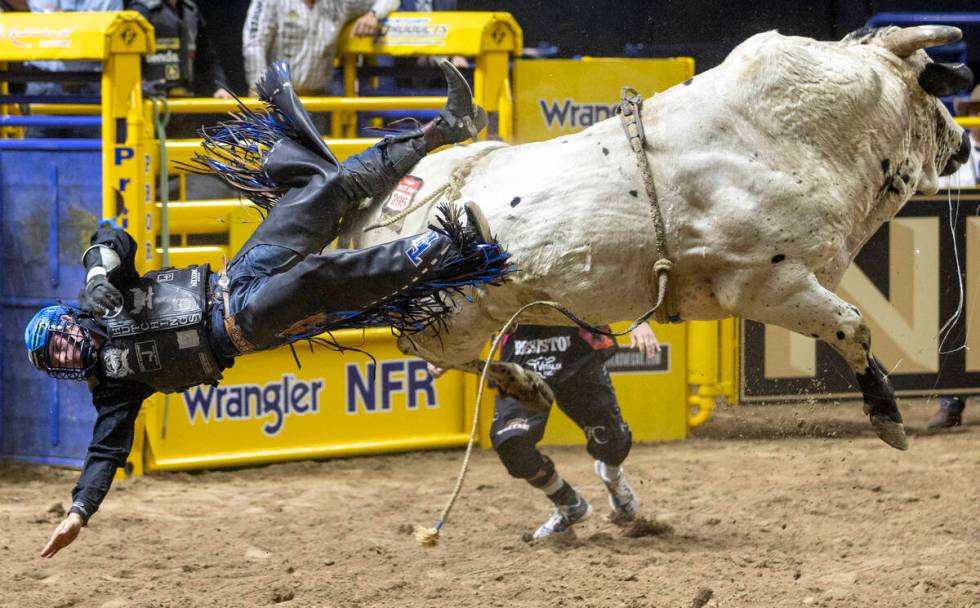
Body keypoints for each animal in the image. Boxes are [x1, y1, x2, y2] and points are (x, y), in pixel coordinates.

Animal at [340, 25, 968, 452]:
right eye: (935, 83)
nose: (963, 142)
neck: (803, 132)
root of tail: (381, 210)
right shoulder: (769, 284)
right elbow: (852, 327)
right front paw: (887, 416)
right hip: (449, 321)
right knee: (422, 350)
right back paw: (521, 383)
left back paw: (527, 386)